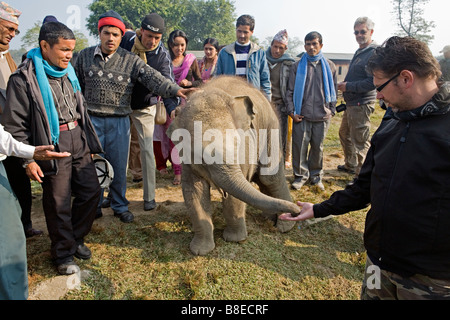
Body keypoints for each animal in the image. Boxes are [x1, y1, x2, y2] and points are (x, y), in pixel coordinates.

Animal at [167, 75, 300, 255]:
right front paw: (200, 250)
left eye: (237, 143)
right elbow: (194, 191)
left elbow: (234, 195)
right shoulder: (187, 160)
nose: (299, 209)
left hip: (271, 128)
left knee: (269, 178)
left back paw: (284, 226)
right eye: (200, 155)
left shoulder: (245, 147)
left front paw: (234, 239)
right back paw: (271, 218)